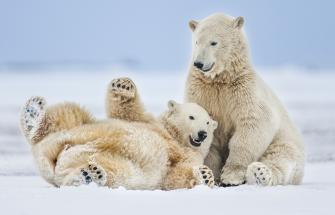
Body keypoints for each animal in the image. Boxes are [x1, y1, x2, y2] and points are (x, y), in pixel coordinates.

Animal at [19, 77, 218, 190]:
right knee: (67, 113)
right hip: (76, 129)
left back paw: (90, 174)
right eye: (192, 117)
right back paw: (33, 111)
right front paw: (123, 84)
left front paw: (205, 175)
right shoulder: (150, 123)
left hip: (116, 165)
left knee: (106, 175)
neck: (175, 137)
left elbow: (175, 177)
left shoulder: (187, 156)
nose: (202, 134)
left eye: (208, 123)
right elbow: (127, 111)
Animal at [185, 13, 306, 186]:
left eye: (214, 42)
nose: (199, 63)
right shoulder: (202, 92)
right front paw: (210, 174)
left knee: (281, 158)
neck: (221, 79)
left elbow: (254, 122)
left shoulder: (243, 89)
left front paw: (231, 176)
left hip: (285, 141)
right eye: (197, 41)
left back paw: (260, 173)